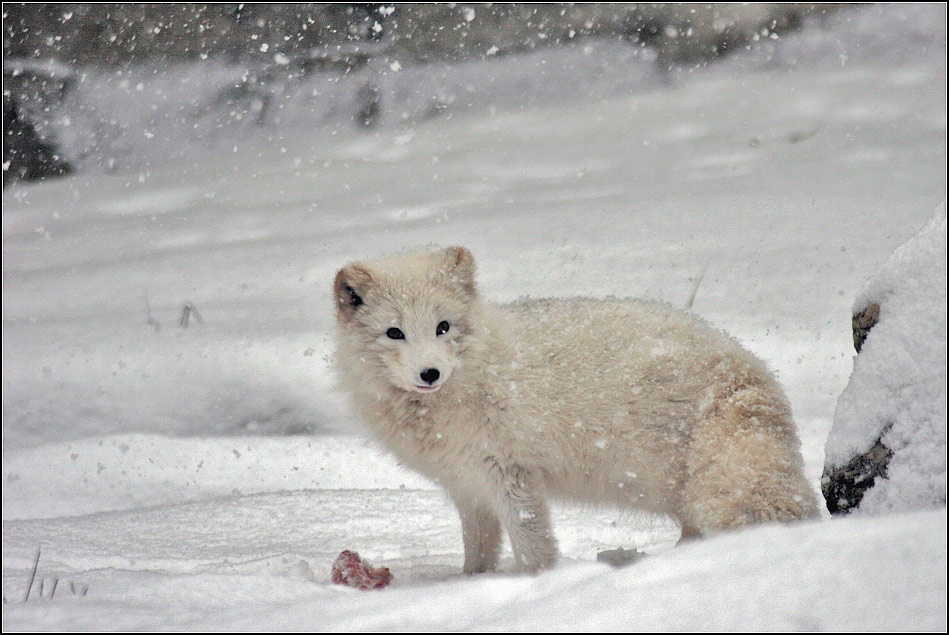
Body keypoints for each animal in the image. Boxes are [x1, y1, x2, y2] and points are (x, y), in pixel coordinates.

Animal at [332, 246, 816, 572]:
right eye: (394, 332)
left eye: (443, 327)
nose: (430, 373)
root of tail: (744, 368)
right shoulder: (467, 486)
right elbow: (479, 550)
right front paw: (471, 583)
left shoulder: (511, 473)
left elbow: (533, 544)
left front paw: (538, 583)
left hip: (669, 476)